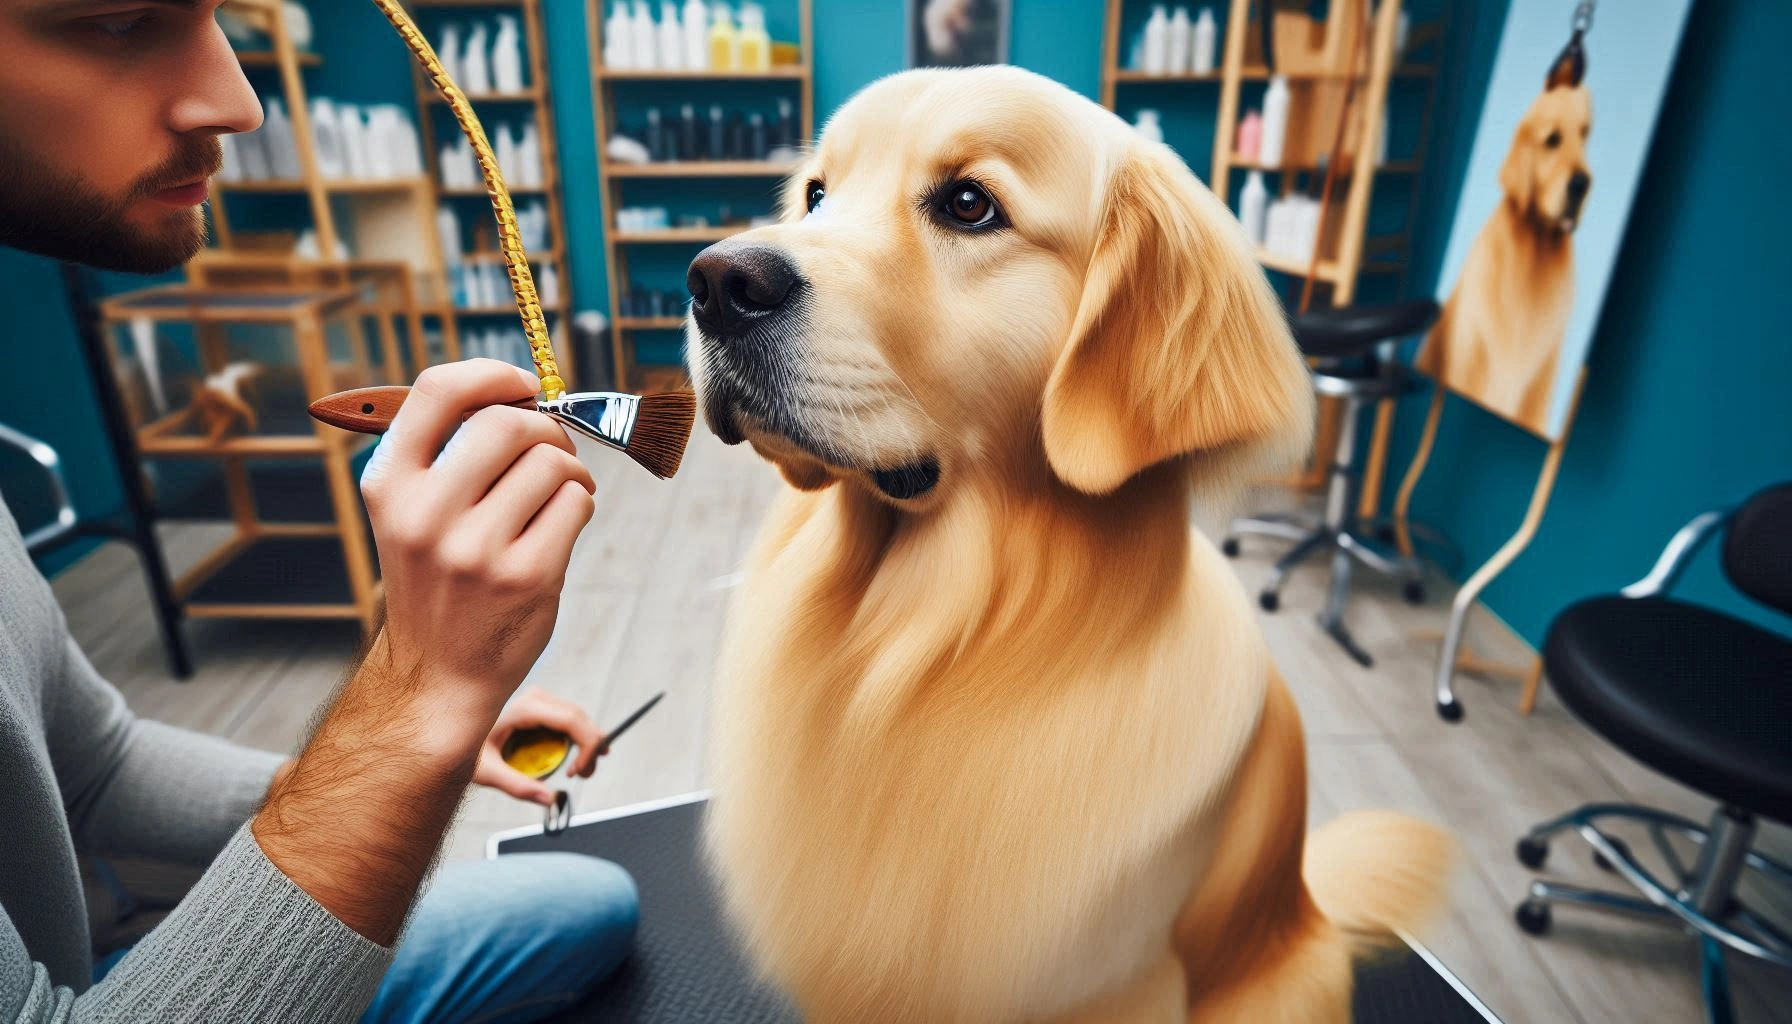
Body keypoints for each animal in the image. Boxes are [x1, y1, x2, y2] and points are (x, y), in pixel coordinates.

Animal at [684, 68, 1455, 1018]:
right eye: (816, 197)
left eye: (969, 204)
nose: (716, 280)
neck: (946, 647)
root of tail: (1312, 905)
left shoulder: (1125, 986)